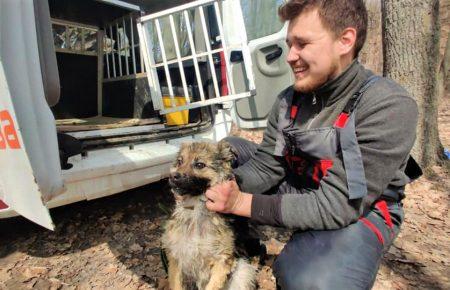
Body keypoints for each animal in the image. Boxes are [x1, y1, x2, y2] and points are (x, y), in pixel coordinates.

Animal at [163, 141, 256, 290]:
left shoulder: (222, 260)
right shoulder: (175, 257)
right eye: (180, 161)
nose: (172, 177)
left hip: (243, 272)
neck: (196, 209)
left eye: (199, 164)